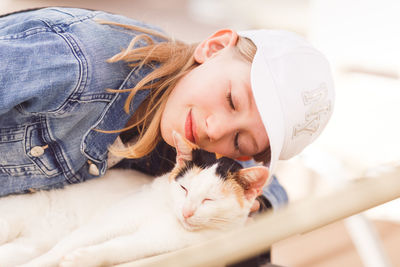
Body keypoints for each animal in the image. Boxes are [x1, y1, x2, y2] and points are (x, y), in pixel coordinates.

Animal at [0, 132, 268, 267]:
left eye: (209, 200)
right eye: (184, 188)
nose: (187, 212)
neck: (168, 214)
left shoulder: (154, 242)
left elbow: (119, 248)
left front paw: (84, 258)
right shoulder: (108, 223)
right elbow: (60, 250)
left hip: (28, 243)